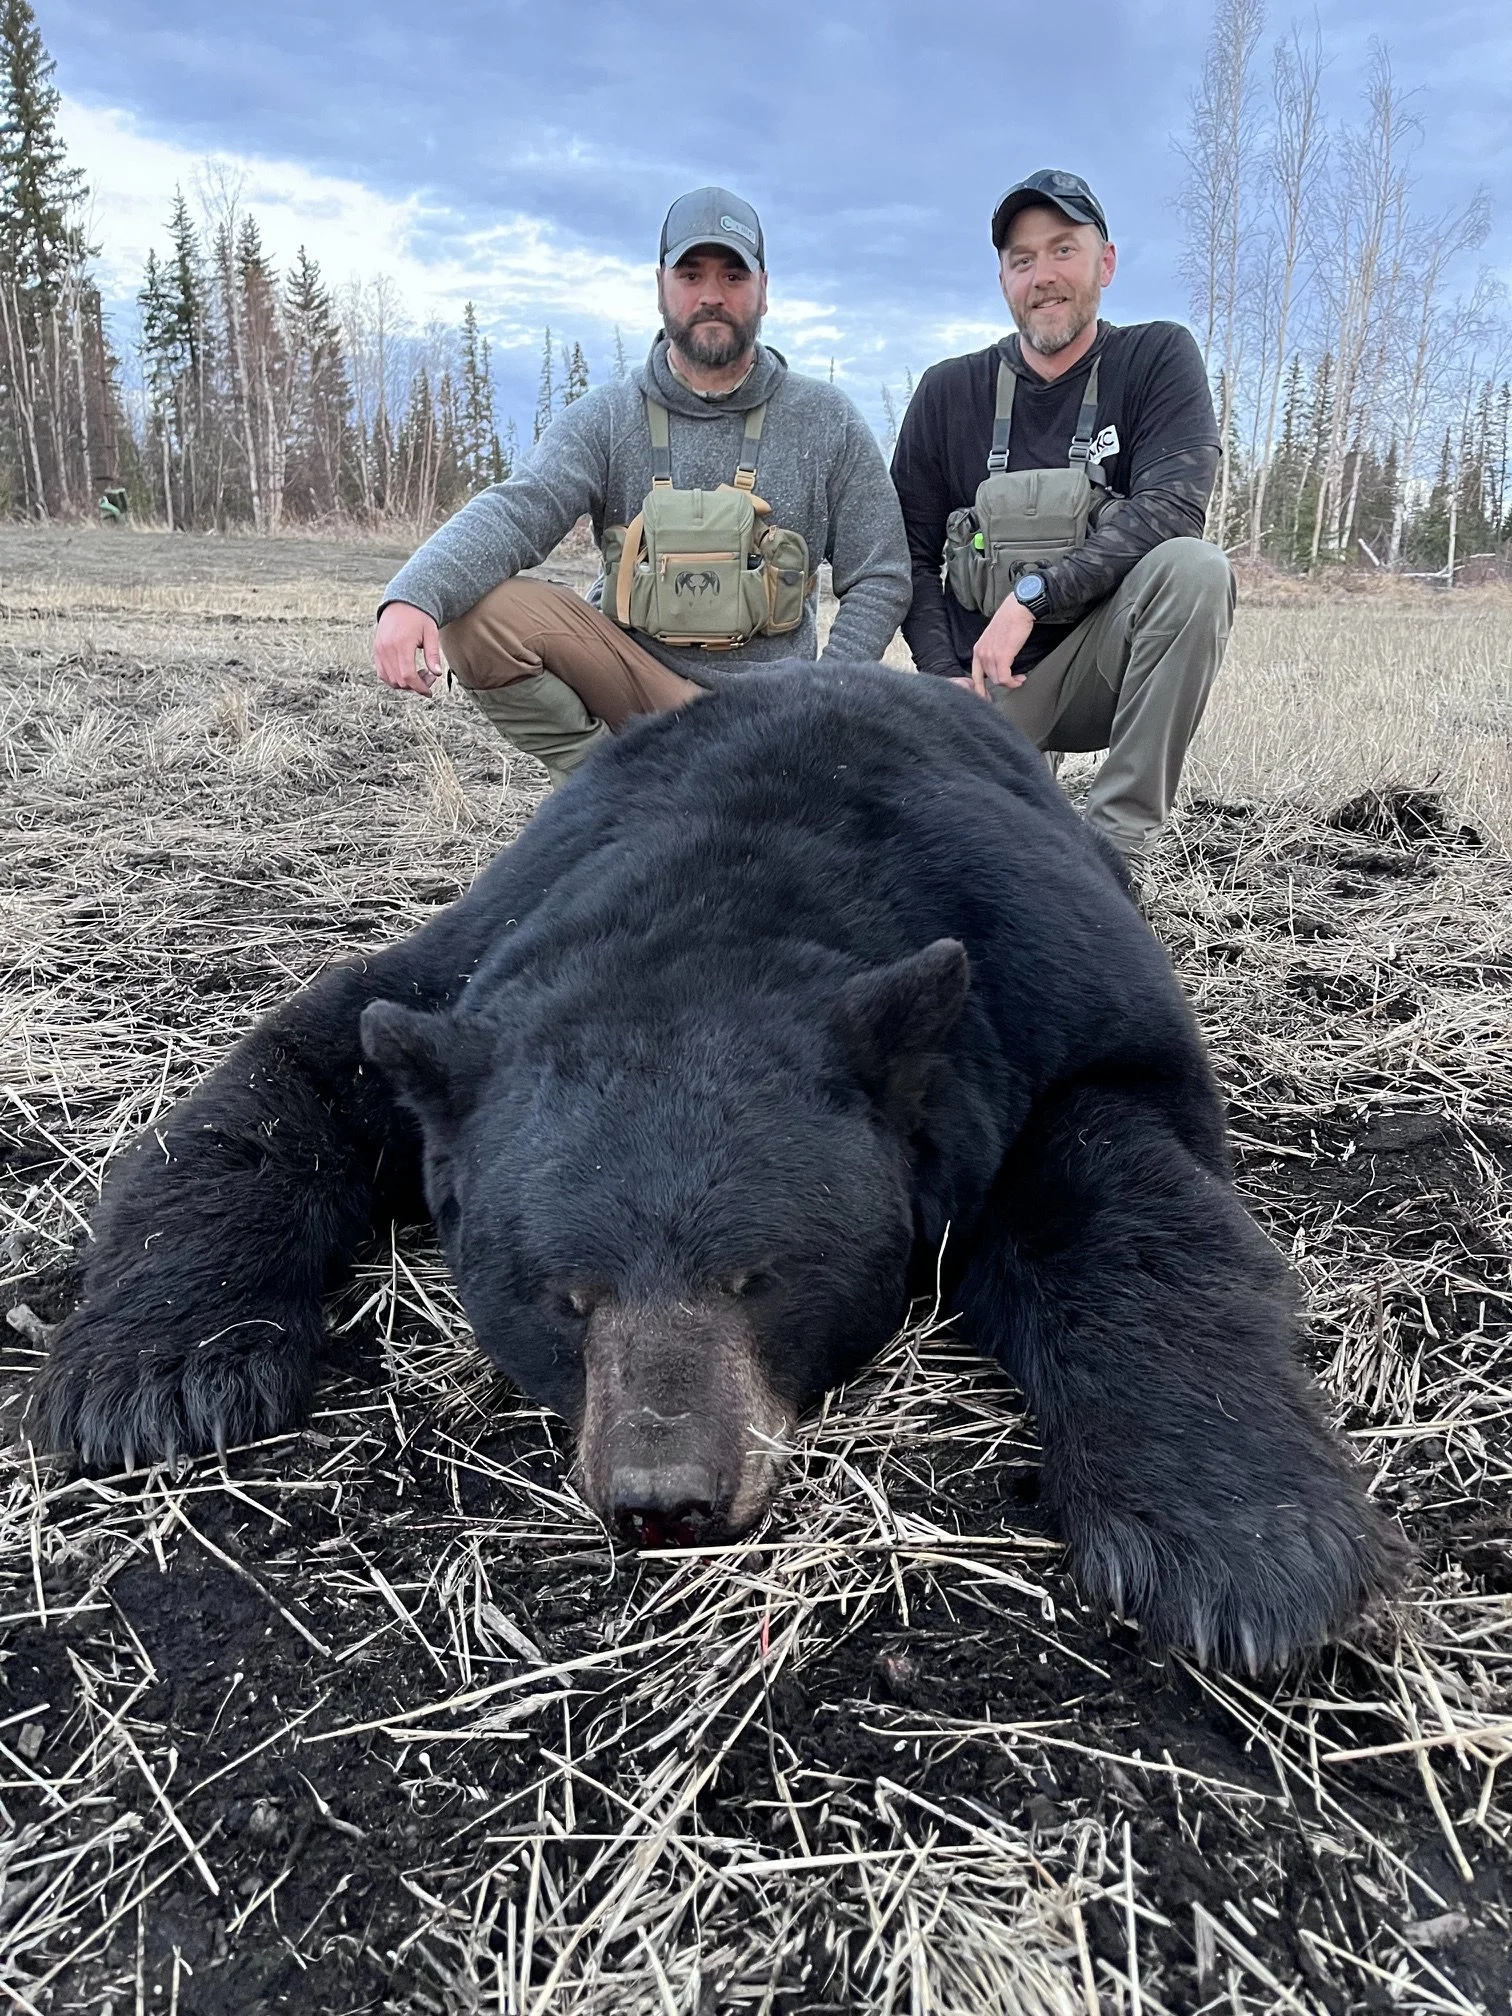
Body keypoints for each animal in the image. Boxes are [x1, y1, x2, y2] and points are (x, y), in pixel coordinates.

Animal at [34, 665, 1403, 1670]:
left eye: (759, 1277)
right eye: (565, 1296)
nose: (665, 1495)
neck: (730, 889)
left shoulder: (1043, 985)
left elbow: (1124, 1188)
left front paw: (1243, 1544)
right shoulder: (474, 970)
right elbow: (293, 1071)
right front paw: (154, 1370)